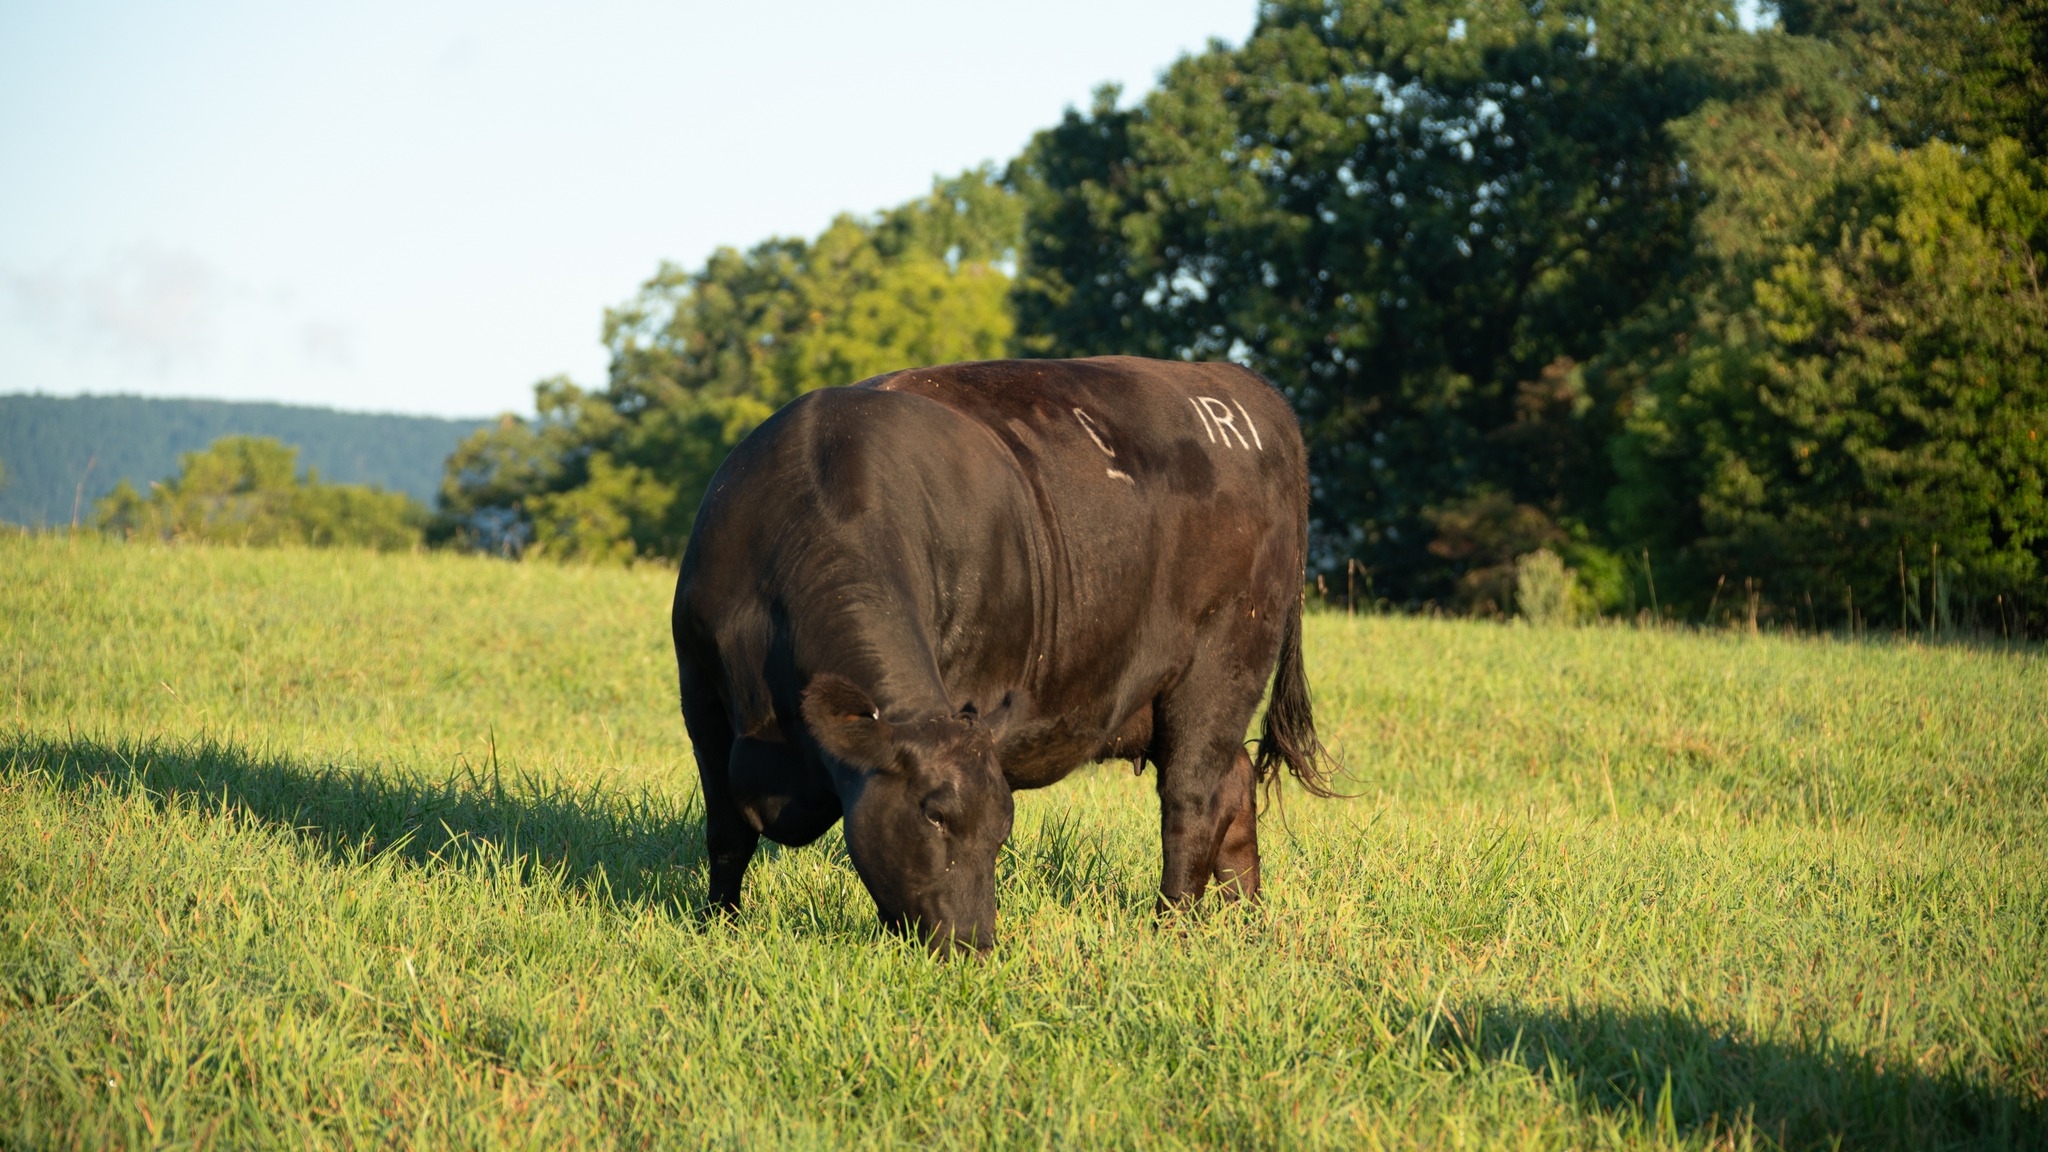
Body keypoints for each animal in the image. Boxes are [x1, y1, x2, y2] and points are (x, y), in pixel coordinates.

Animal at [671, 355, 1337, 953]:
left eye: (999, 833)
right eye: (934, 815)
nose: (973, 944)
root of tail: (1236, 384)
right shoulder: (701, 701)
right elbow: (726, 832)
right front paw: (717, 927)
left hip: (1221, 664)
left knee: (1193, 799)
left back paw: (1170, 926)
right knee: (1234, 785)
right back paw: (1244, 918)